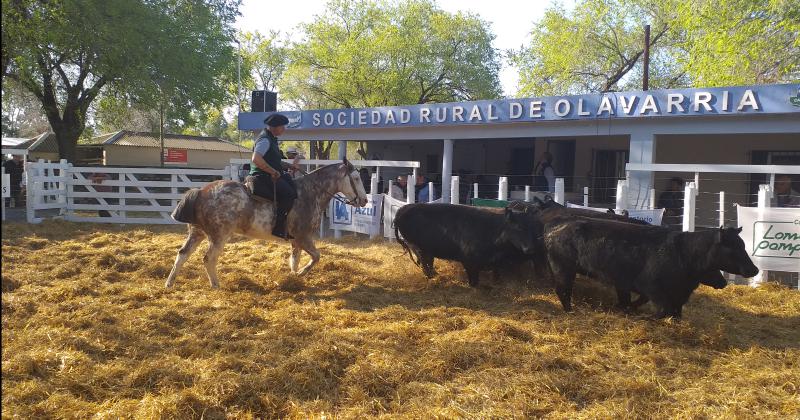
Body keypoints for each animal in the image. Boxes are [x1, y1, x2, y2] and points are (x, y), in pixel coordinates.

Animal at [396, 203, 544, 288]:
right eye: (518, 227)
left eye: (532, 228)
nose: (531, 248)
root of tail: (403, 209)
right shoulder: (468, 260)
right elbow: (474, 279)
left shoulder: (496, 261)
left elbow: (495, 274)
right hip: (416, 246)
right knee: (424, 263)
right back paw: (430, 276)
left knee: (428, 261)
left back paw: (434, 274)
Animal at [544, 220, 756, 318]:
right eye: (734, 248)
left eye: (743, 245)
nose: (754, 270)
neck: (683, 252)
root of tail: (554, 230)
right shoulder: (650, 286)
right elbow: (663, 309)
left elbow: (675, 313)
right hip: (563, 268)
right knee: (563, 291)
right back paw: (570, 311)